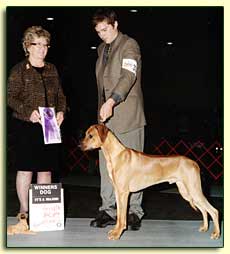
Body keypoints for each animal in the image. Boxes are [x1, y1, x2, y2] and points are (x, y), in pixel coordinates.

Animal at [80, 124, 220, 240]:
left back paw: (216, 234)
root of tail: (195, 163)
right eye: (86, 134)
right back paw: (205, 227)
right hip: (186, 191)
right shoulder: (118, 192)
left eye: (90, 135)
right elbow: (119, 215)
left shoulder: (123, 193)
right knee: (204, 210)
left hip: (194, 190)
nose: (79, 146)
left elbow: (122, 217)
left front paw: (117, 234)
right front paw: (115, 231)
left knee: (213, 211)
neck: (116, 155)